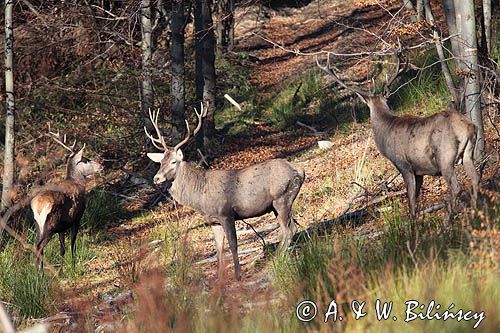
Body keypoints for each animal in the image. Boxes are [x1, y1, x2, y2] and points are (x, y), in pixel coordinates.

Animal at [29, 130, 103, 270]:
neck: (78, 183)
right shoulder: (77, 217)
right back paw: (38, 273)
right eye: (86, 160)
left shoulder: (62, 227)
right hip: (50, 226)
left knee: (38, 247)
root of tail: (38, 207)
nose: (101, 166)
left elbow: (62, 249)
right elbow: (73, 243)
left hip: (38, 225)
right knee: (38, 247)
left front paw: (62, 269)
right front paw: (73, 265)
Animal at [145, 104, 304, 280]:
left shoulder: (226, 213)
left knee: (289, 230)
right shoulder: (213, 221)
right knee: (289, 228)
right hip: (277, 204)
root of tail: (300, 170)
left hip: (282, 197)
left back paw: (277, 258)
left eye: (173, 161)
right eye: (160, 162)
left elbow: (233, 244)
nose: (156, 178)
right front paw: (219, 278)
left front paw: (237, 275)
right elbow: (219, 249)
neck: (200, 198)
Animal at [316, 53, 480, 220]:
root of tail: (468, 127)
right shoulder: (419, 171)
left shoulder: (403, 164)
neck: (385, 131)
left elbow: (411, 201)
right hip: (468, 154)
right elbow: (416, 197)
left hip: (444, 156)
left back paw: (448, 219)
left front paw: (413, 222)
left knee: (456, 187)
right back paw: (475, 214)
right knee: (475, 179)